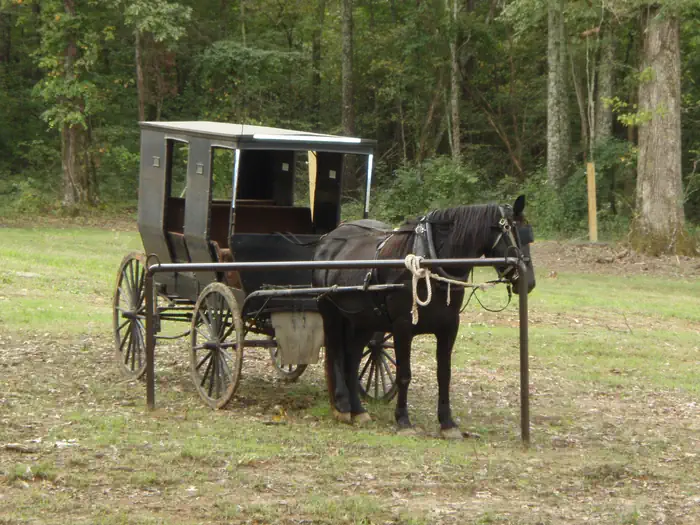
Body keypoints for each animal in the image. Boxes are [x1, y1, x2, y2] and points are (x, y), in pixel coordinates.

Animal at [312, 195, 536, 439]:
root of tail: (328, 240)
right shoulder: (403, 326)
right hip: (331, 314)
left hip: (363, 321)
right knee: (336, 354)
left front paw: (448, 423)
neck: (429, 260)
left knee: (352, 360)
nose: (529, 282)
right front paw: (403, 420)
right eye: (515, 234)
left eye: (529, 236)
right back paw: (343, 406)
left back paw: (358, 411)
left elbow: (444, 374)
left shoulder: (449, 327)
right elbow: (404, 374)